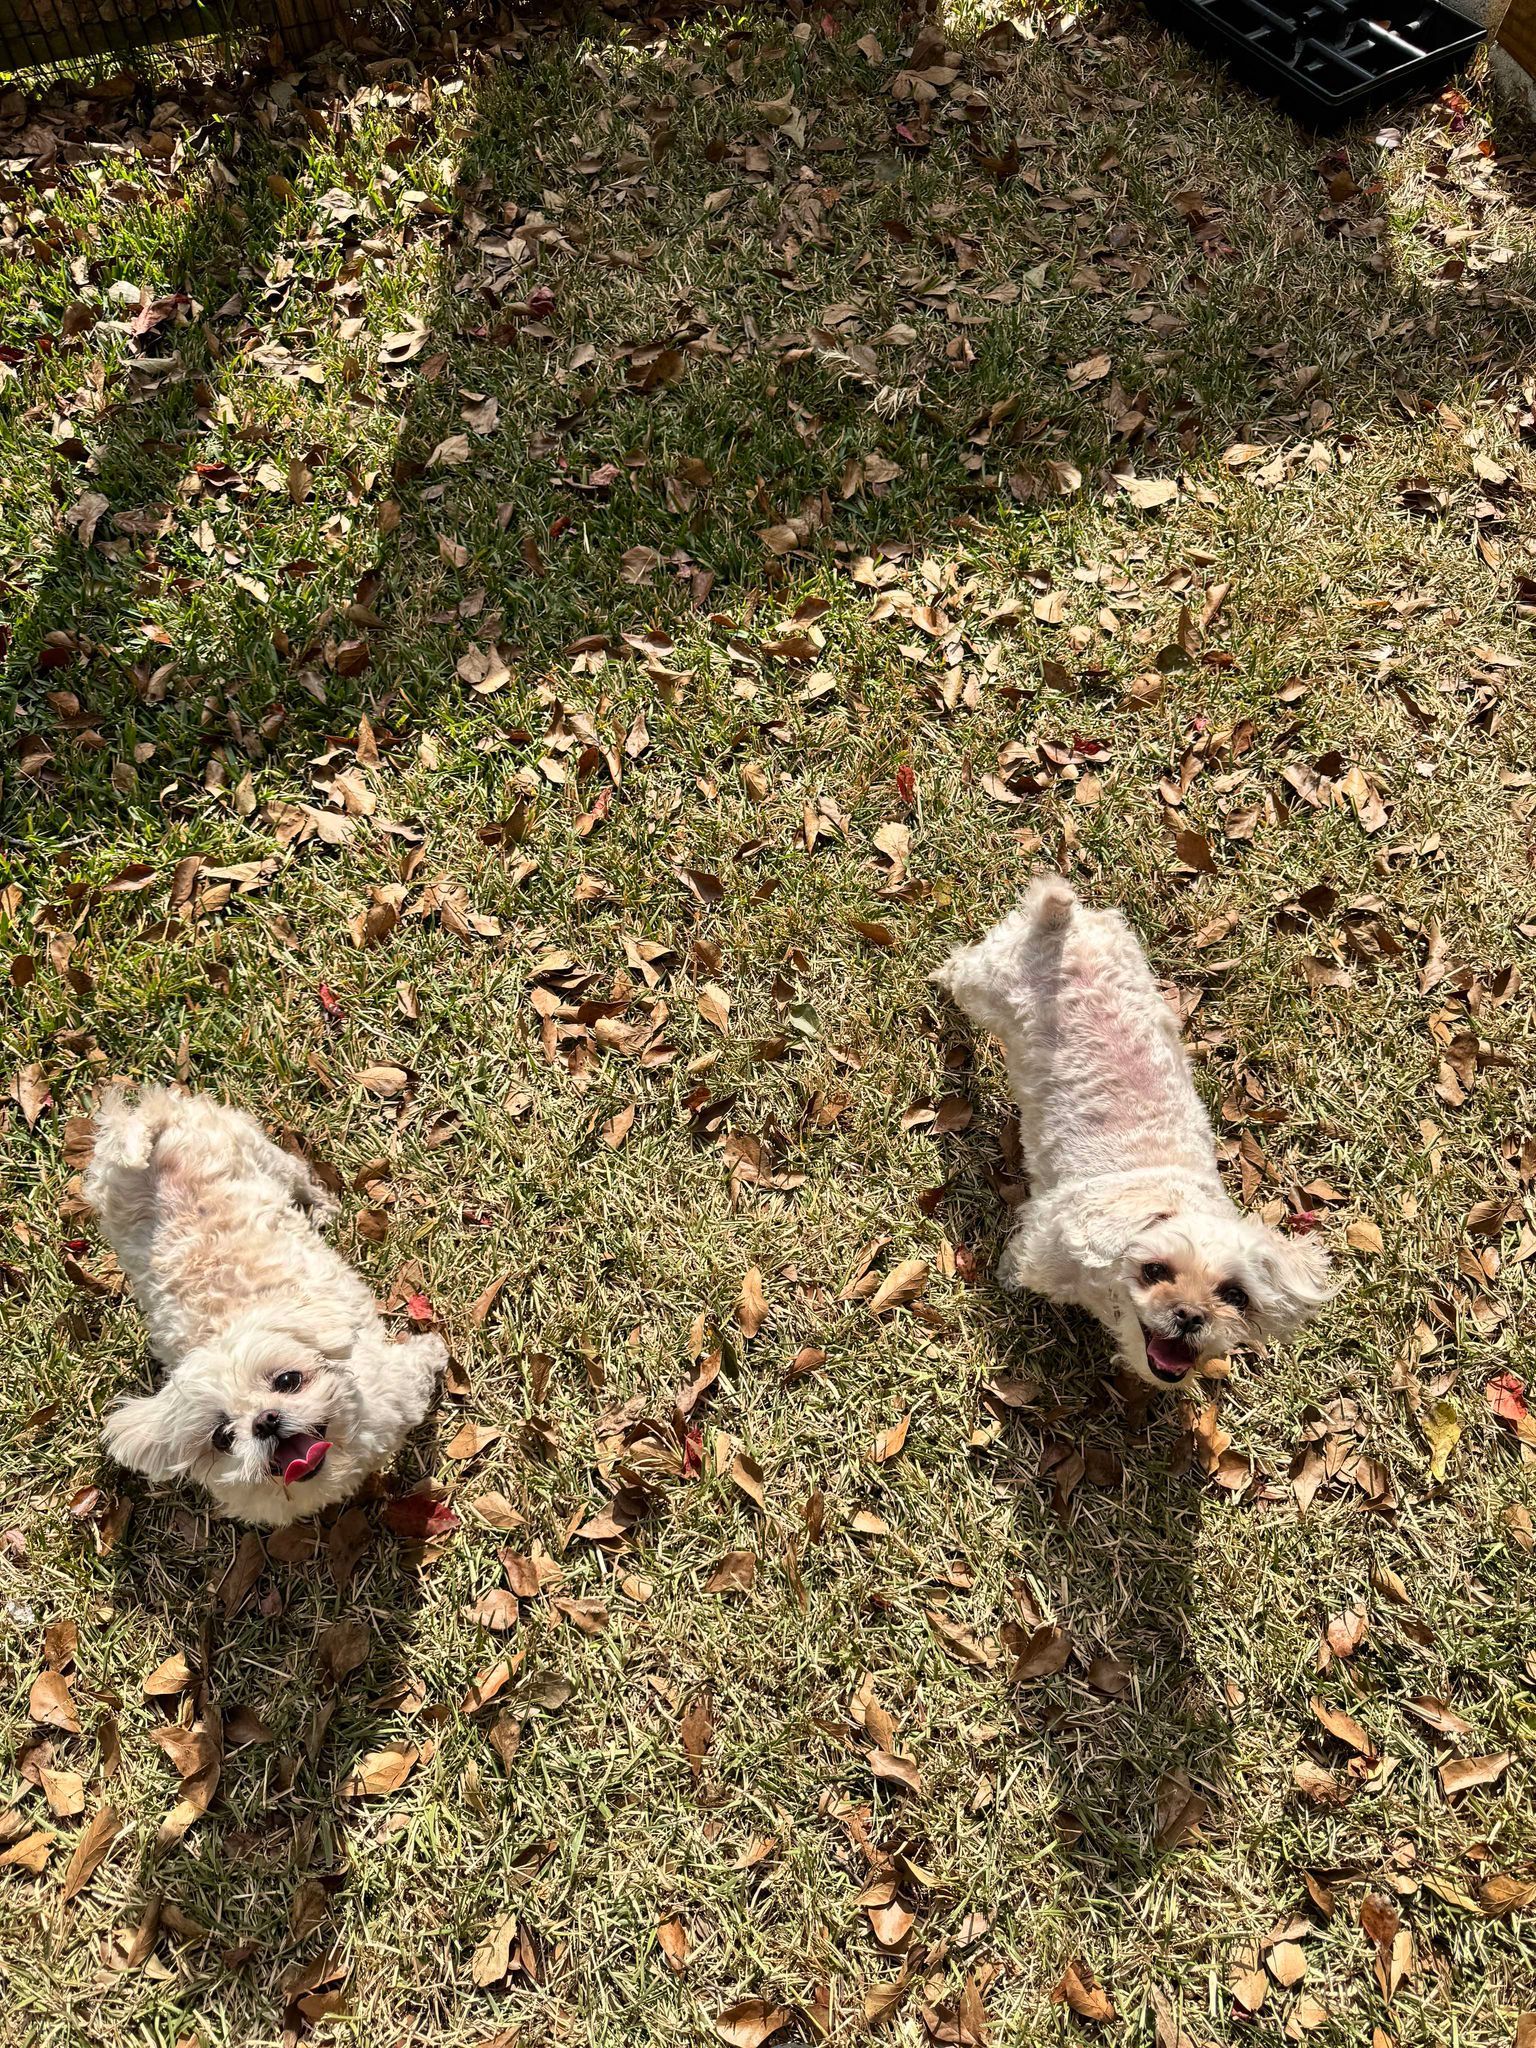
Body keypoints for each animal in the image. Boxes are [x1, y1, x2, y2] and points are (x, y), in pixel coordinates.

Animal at [86, 1089, 444, 1523]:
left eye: (288, 1380)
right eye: (222, 1437)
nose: (265, 1421)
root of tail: (148, 1119)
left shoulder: (398, 1386)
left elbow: (420, 1363)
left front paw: (434, 1350)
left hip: (263, 1155)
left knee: (299, 1173)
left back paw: (321, 1204)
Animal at [937, 880, 1335, 1392]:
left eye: (1235, 1295)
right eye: (1154, 1271)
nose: (1190, 1316)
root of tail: (1060, 924)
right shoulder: (1043, 1239)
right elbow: (1019, 1262)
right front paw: (1006, 1276)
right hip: (985, 981)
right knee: (959, 966)